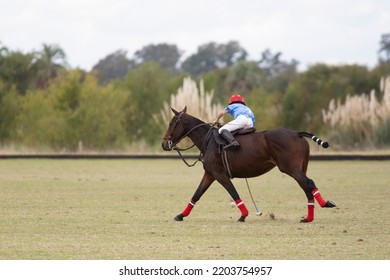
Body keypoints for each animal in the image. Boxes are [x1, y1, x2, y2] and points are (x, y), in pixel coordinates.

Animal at [161, 107, 336, 223]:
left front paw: (243, 214)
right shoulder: (210, 174)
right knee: (306, 186)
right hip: (300, 167)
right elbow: (196, 194)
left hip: (290, 168)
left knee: (309, 183)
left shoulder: (219, 174)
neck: (208, 139)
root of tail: (297, 133)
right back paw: (310, 215)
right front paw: (180, 215)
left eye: (171, 123)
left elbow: (233, 192)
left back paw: (320, 207)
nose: (164, 144)